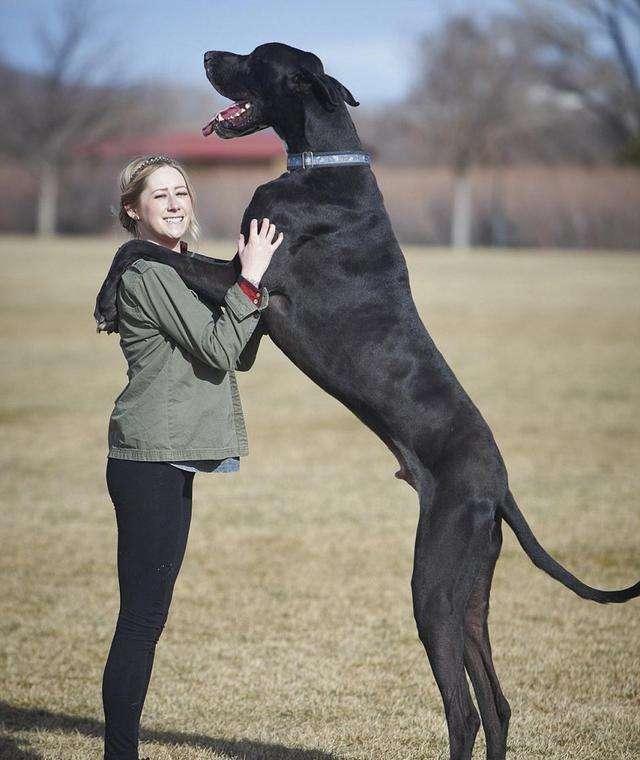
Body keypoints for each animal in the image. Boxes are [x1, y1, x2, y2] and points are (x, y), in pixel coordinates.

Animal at [96, 44, 640, 760]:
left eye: (255, 58)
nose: (210, 54)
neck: (323, 164)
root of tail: (499, 487)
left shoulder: (250, 279)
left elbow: (137, 248)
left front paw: (107, 299)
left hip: (432, 584)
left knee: (464, 710)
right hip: (470, 589)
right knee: (497, 704)